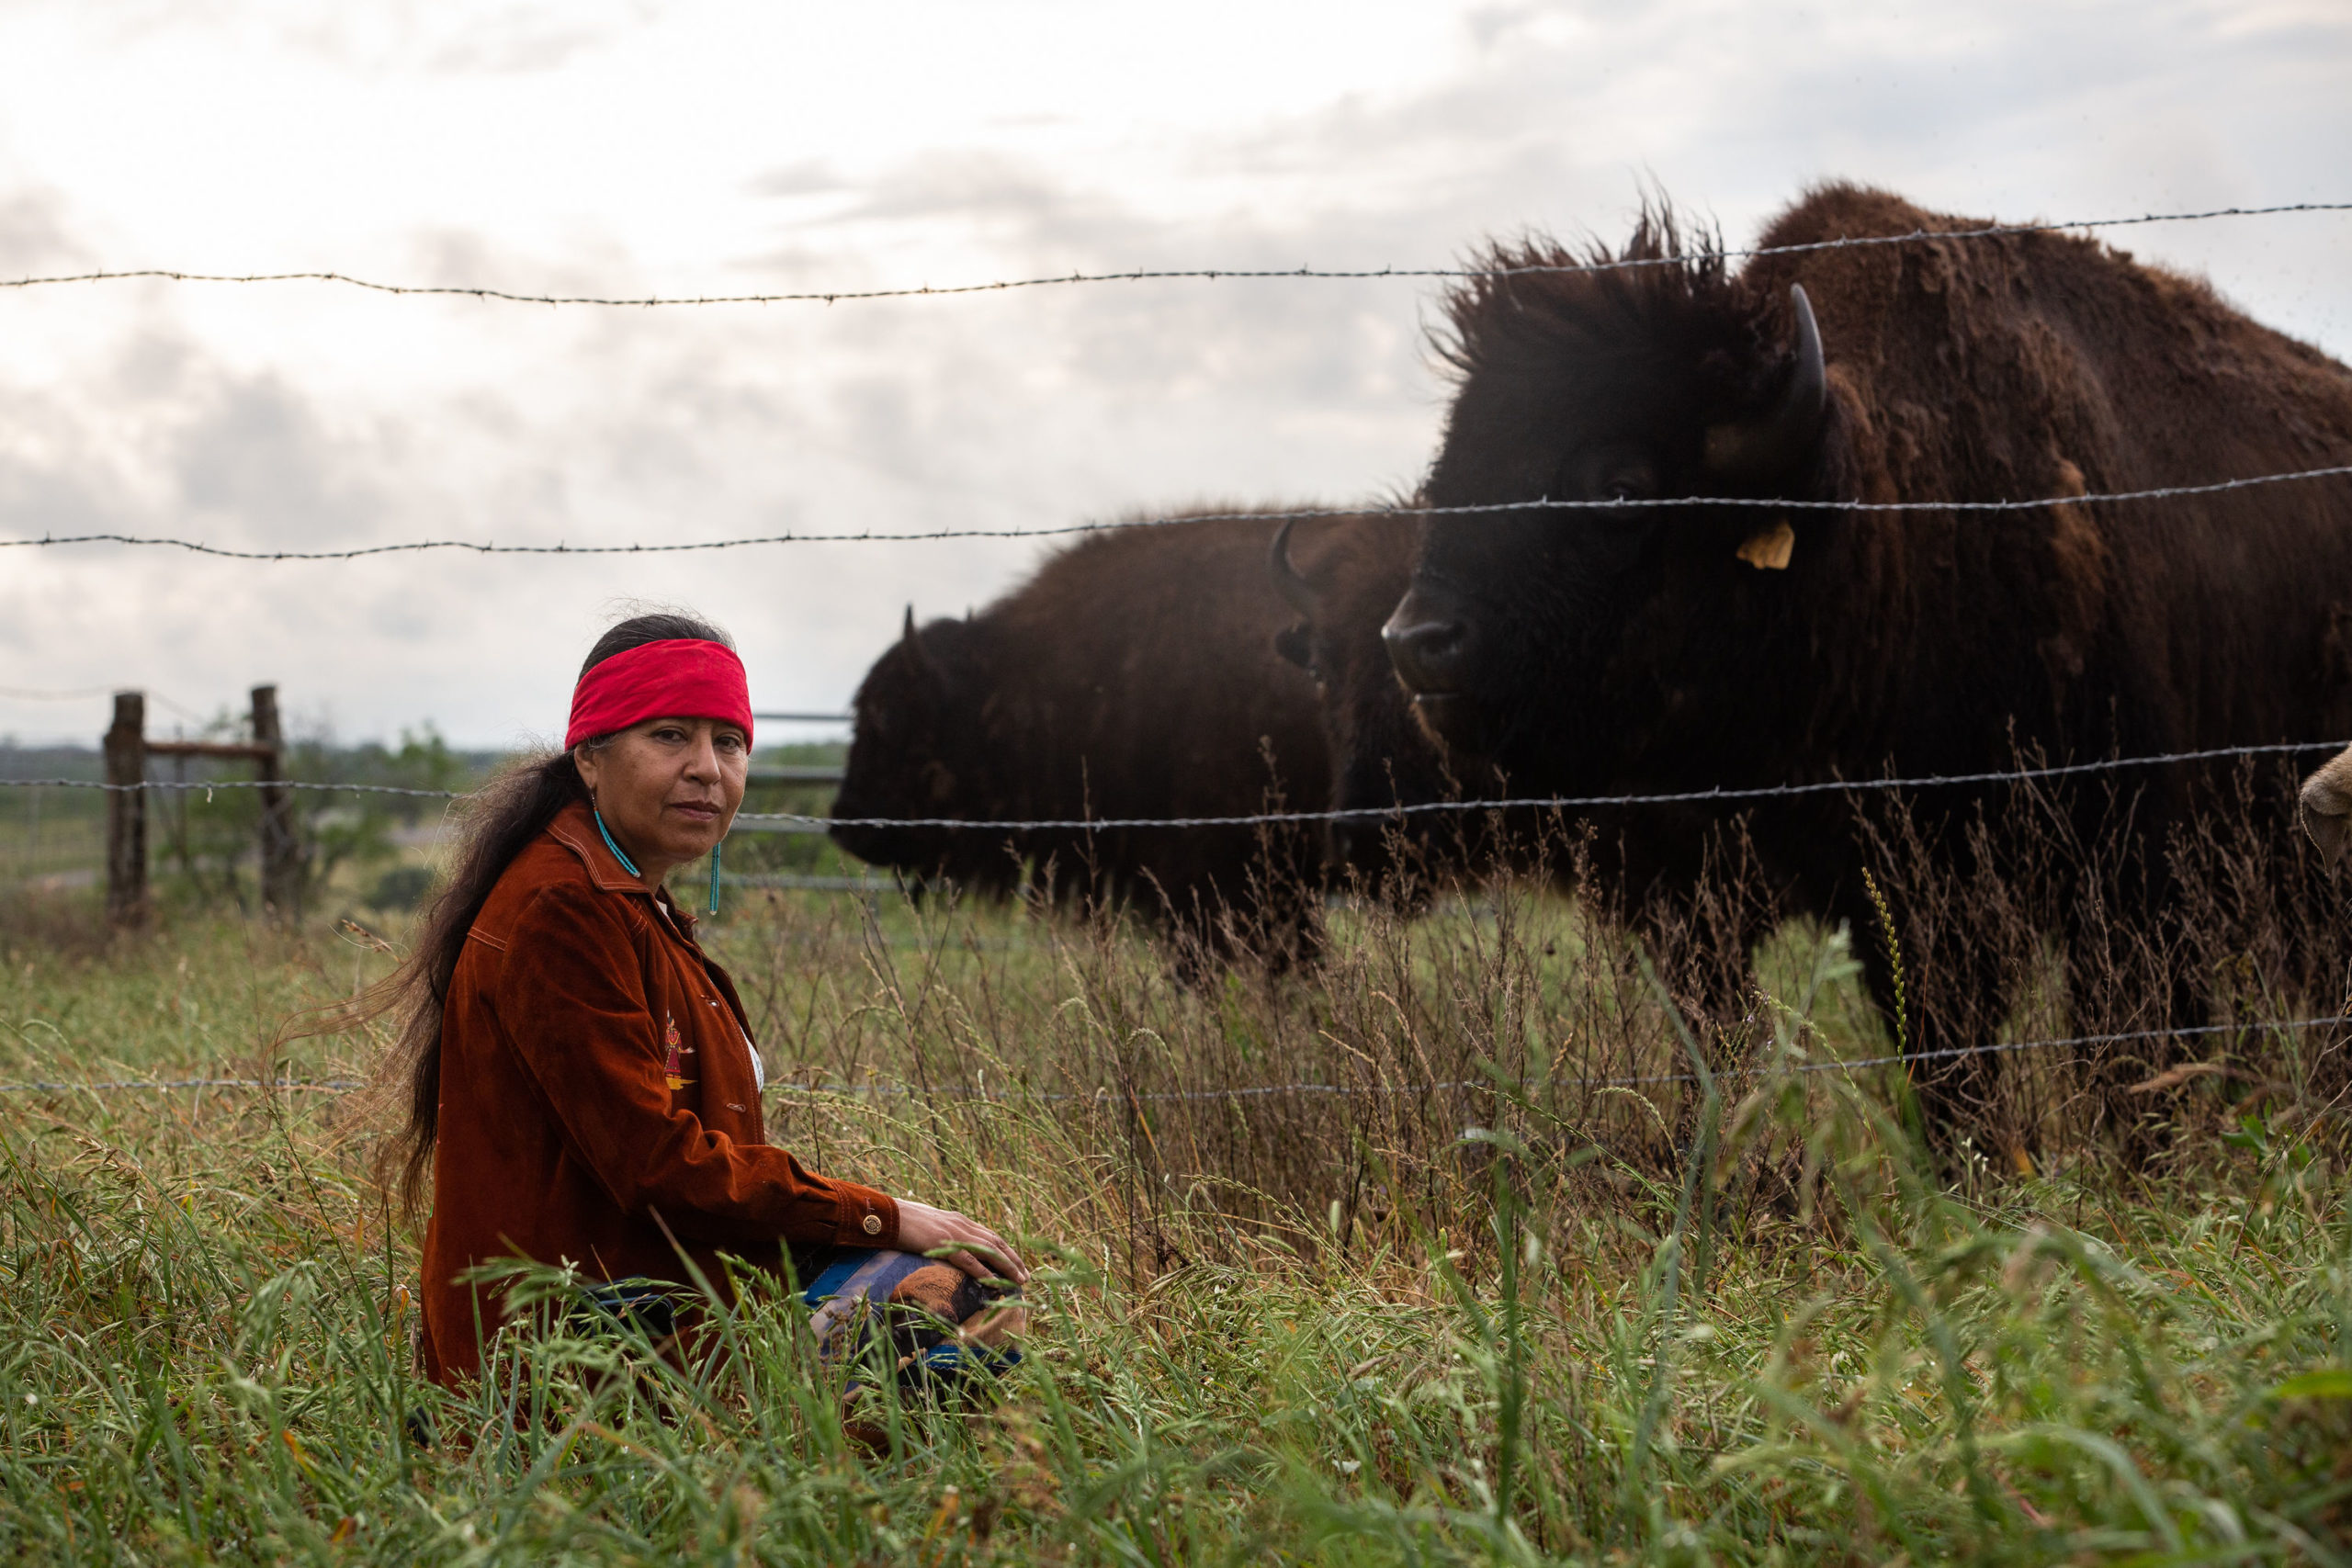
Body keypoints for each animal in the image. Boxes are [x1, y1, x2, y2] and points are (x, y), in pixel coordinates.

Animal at [1374, 184, 2352, 1128]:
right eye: (1449, 473)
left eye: (1620, 489)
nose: (1417, 642)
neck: (1873, 521)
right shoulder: (1785, 903)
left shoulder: (2109, 878)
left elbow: (2108, 1061)